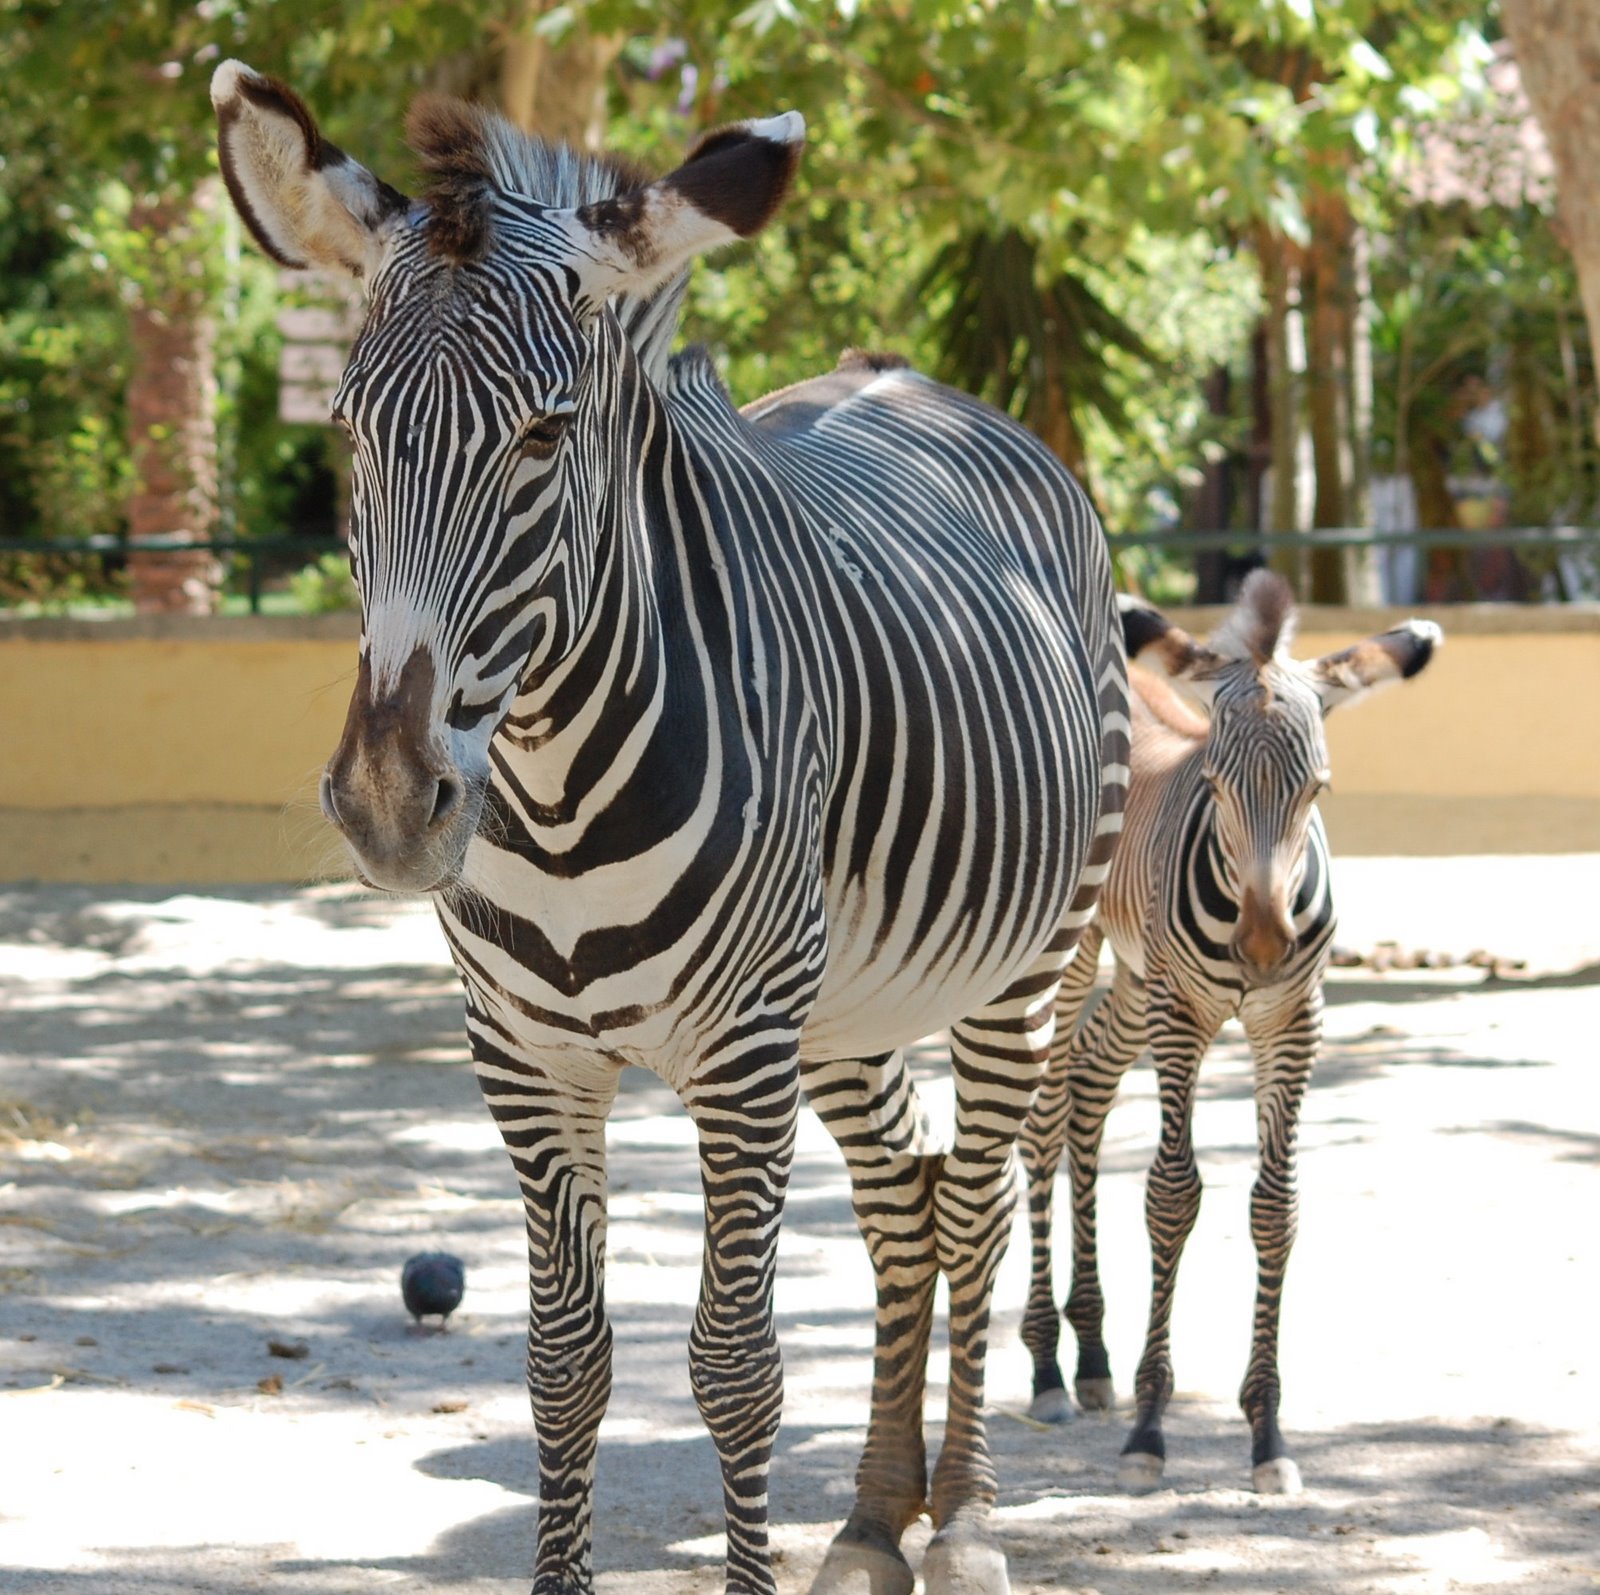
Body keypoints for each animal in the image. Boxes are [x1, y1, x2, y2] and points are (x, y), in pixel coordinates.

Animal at [212, 63, 1128, 1595]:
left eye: (544, 435)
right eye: (346, 432)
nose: (393, 803)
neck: (553, 790)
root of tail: (922, 383)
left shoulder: (743, 1050)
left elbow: (736, 1367)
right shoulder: (525, 1057)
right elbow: (567, 1362)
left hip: (1019, 964)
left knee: (977, 1203)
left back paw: (966, 1523)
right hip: (849, 1005)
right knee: (905, 1203)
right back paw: (874, 1520)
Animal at [1017, 572, 1440, 1495]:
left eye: (1319, 789)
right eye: (1211, 783)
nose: (1263, 943)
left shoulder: (1292, 1018)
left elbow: (1275, 1207)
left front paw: (1267, 1432)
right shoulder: (1185, 1012)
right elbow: (1173, 1196)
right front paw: (1148, 1428)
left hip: (1136, 979)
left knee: (1087, 1093)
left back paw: (1092, 1352)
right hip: (1077, 957)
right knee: (1041, 1117)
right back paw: (1048, 1367)